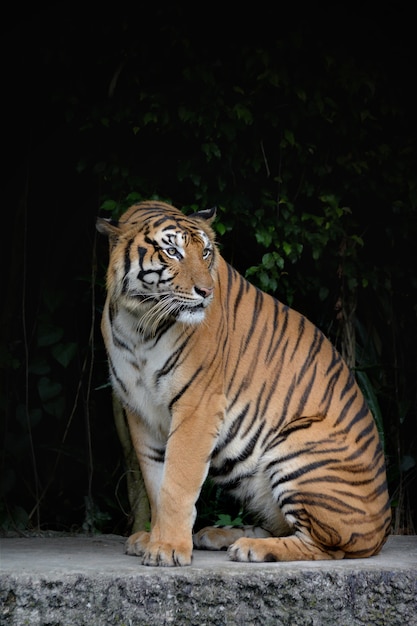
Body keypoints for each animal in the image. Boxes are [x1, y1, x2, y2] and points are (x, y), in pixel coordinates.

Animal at [96, 199, 390, 564]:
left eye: (206, 253)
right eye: (172, 252)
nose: (206, 292)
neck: (138, 321)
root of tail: (383, 530)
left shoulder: (197, 405)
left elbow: (177, 481)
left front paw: (167, 548)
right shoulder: (140, 410)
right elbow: (155, 482)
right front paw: (153, 540)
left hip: (298, 446)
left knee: (328, 546)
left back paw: (251, 548)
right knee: (283, 526)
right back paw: (217, 534)